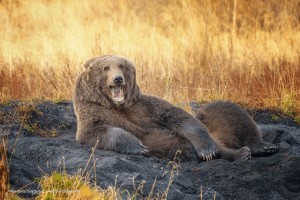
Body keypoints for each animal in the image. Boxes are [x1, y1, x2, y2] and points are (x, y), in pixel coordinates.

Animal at [73, 55, 251, 162]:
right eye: (106, 68)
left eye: (121, 65)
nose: (118, 79)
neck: (118, 105)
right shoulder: (94, 112)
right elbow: (96, 131)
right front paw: (139, 147)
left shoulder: (144, 107)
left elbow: (179, 116)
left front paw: (207, 150)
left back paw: (242, 153)